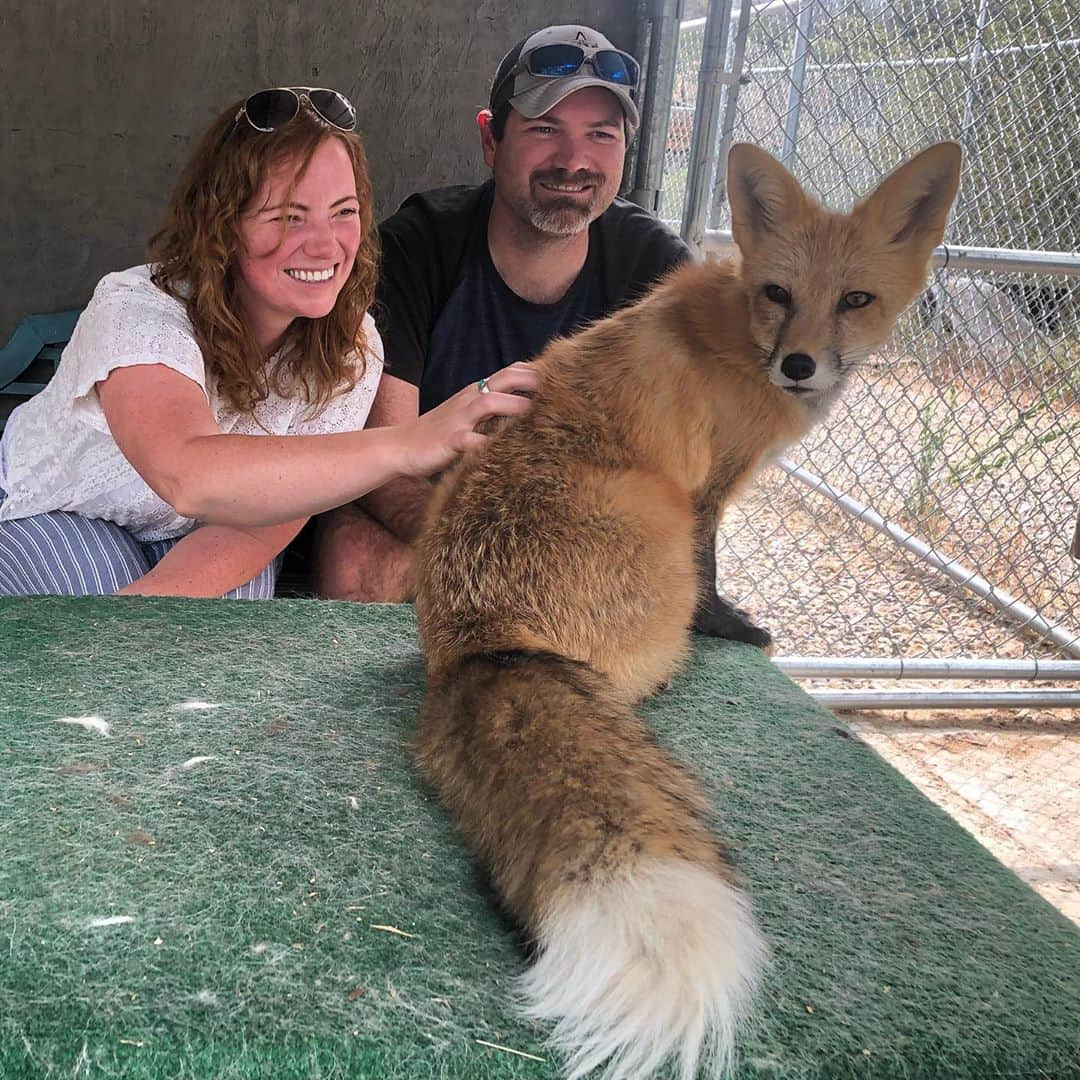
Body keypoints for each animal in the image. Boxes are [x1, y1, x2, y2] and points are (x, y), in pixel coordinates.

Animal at [410, 143, 963, 1080]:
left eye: (855, 300)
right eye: (778, 292)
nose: (800, 365)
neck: (744, 342)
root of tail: (488, 643)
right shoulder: (708, 490)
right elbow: (714, 576)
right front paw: (736, 631)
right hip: (656, 517)